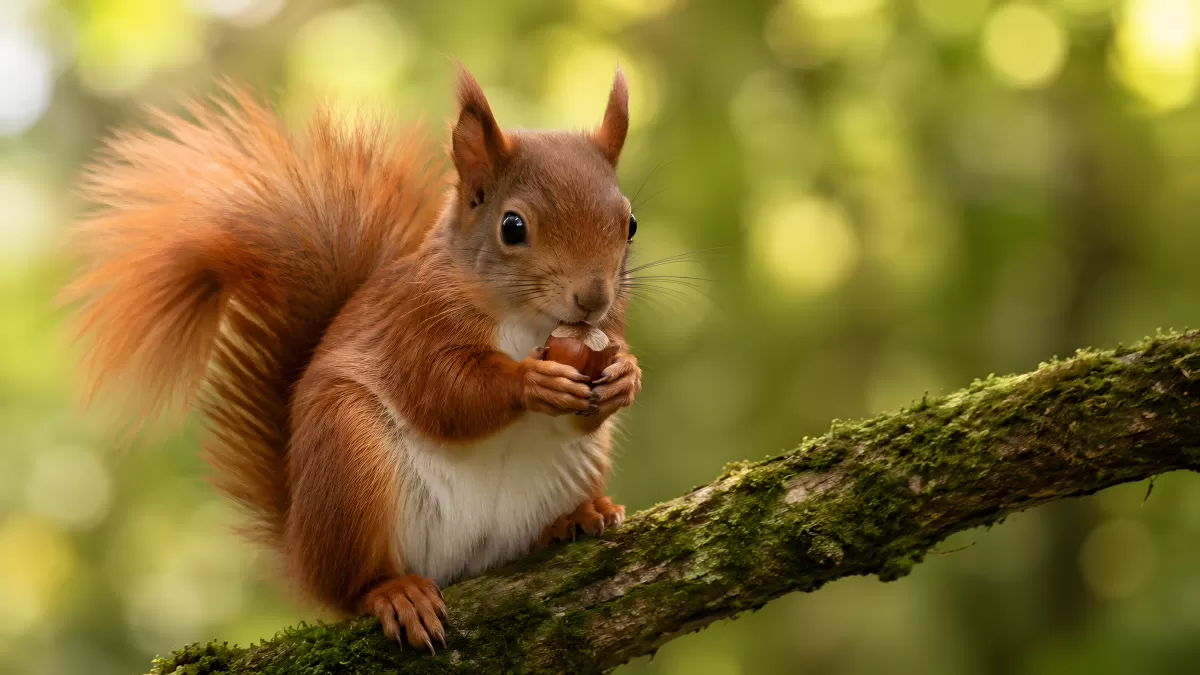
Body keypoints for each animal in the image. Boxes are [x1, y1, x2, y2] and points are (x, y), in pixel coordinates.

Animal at [59, 66, 643, 650]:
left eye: (631, 223)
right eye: (513, 227)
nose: (592, 299)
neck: (527, 320)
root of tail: (303, 549)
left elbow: (586, 411)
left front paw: (625, 376)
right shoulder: (415, 323)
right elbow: (447, 394)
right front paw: (531, 381)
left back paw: (575, 518)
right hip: (348, 459)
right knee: (353, 586)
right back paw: (395, 592)